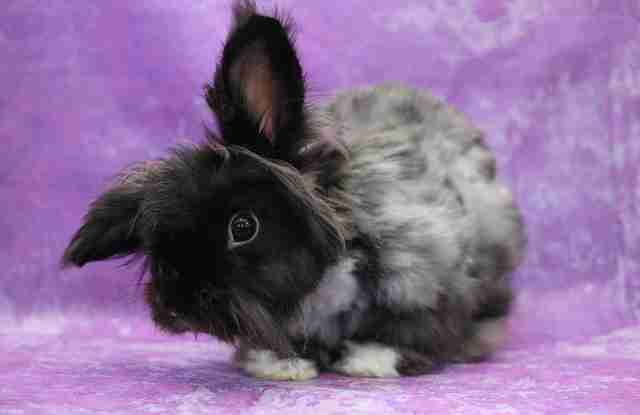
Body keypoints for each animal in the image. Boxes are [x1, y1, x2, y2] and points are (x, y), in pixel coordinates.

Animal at [61, 0, 524, 382]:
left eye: (243, 226)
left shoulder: (425, 283)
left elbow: (412, 330)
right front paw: (279, 365)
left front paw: (369, 361)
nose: (175, 306)